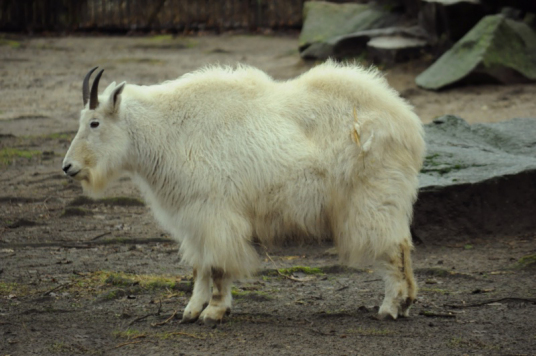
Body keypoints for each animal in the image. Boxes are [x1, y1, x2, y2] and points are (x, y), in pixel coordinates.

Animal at [61, 62, 422, 326]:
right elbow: (199, 265)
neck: (168, 132)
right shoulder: (194, 217)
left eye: (94, 123)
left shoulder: (216, 213)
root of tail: (407, 124)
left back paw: (392, 306)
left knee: (394, 248)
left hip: (372, 200)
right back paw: (403, 304)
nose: (68, 167)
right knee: (402, 246)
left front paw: (214, 311)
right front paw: (191, 310)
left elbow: (218, 265)